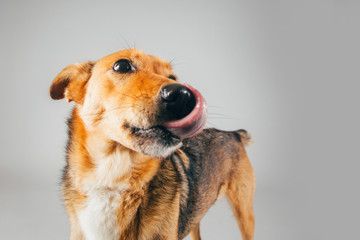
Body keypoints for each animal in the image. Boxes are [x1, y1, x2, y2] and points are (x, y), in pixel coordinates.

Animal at [50, 49, 256, 240]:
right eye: (122, 66)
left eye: (172, 77)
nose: (184, 95)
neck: (112, 177)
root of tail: (234, 134)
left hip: (244, 212)